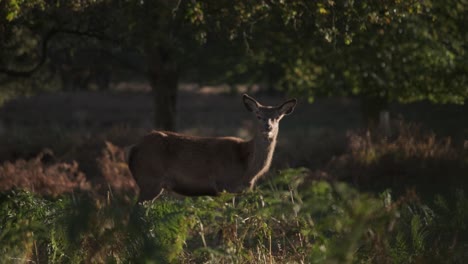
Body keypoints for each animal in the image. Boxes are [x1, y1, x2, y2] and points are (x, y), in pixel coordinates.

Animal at [127, 94, 296, 200]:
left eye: (277, 117)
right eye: (258, 116)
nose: (268, 127)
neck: (247, 168)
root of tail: (134, 149)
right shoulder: (223, 185)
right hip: (149, 179)